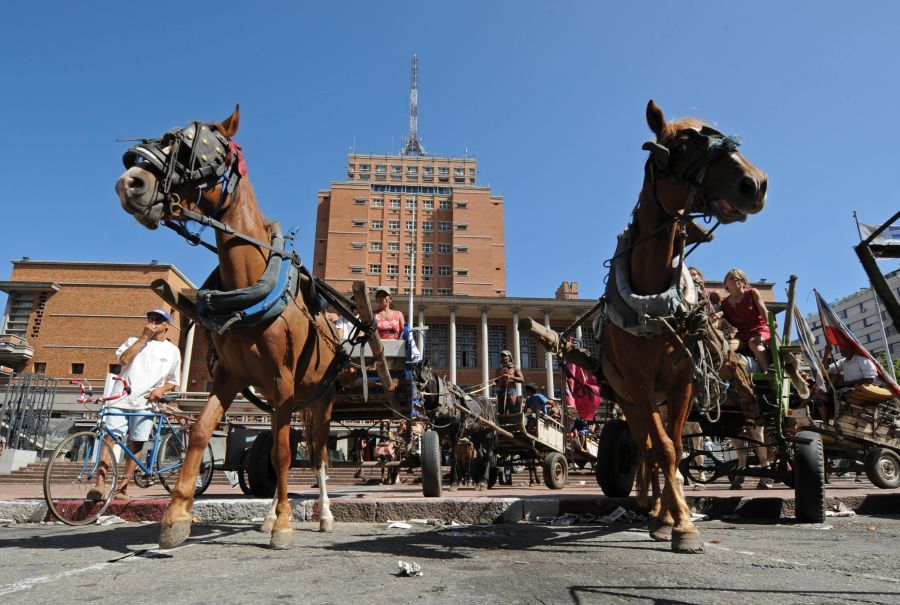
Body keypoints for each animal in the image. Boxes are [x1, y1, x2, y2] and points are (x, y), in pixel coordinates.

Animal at [116, 106, 344, 548]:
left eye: (202, 148)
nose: (130, 182)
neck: (251, 289)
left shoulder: (282, 379)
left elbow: (285, 454)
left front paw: (286, 525)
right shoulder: (232, 376)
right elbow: (203, 432)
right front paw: (176, 516)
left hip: (321, 398)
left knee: (319, 452)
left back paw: (324, 514)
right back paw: (269, 514)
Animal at [414, 360, 496, 488]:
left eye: (425, 372)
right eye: (413, 374)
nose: (417, 393)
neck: (445, 404)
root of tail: (489, 402)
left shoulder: (456, 433)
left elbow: (454, 456)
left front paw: (453, 482)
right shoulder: (439, 433)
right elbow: (440, 455)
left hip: (488, 434)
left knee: (489, 455)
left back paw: (484, 481)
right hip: (476, 436)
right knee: (481, 455)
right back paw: (479, 481)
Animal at [596, 99, 768, 552]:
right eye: (683, 144)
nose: (755, 182)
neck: (654, 299)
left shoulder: (684, 383)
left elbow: (673, 446)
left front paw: (678, 521)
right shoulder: (638, 387)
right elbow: (664, 450)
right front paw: (678, 523)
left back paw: (660, 512)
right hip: (630, 400)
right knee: (646, 448)